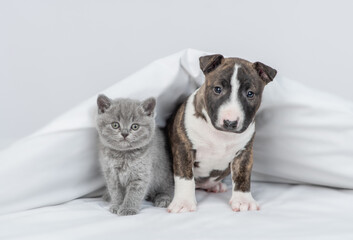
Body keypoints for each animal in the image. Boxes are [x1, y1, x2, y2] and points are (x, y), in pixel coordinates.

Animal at [167, 54, 276, 212]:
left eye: (250, 93)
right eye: (217, 89)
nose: (230, 122)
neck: (221, 136)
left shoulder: (244, 152)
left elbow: (242, 176)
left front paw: (243, 200)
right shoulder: (183, 148)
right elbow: (184, 176)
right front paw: (183, 203)